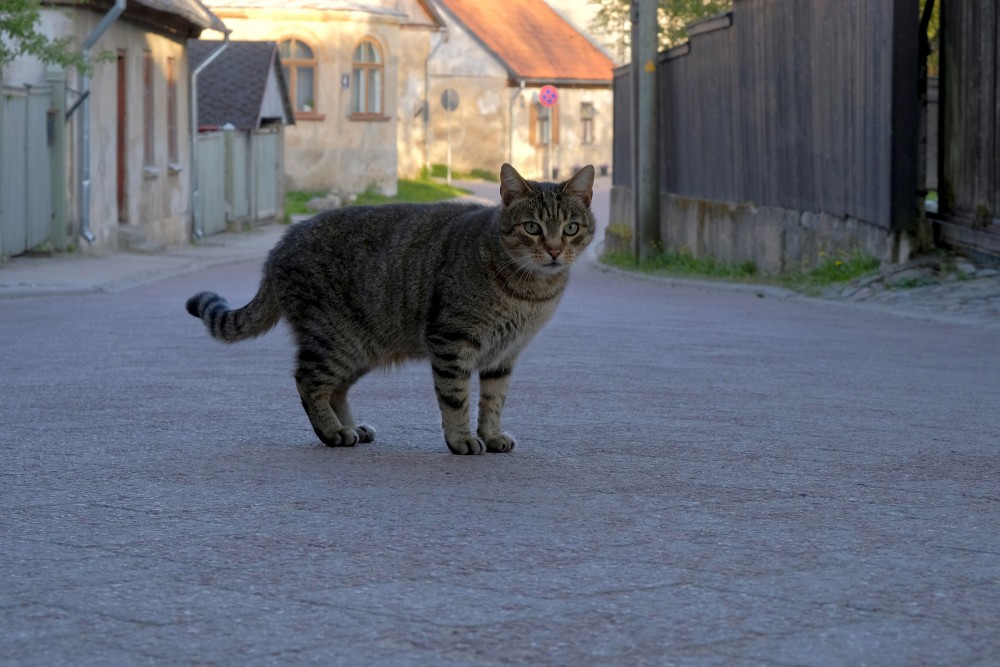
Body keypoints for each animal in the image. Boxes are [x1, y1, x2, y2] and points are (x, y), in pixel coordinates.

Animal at [186, 163, 592, 454]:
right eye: (532, 227)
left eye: (571, 228)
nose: (555, 250)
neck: (532, 293)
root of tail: (278, 247)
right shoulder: (451, 340)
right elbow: (456, 398)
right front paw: (460, 439)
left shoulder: (503, 355)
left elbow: (493, 401)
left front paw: (491, 435)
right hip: (334, 340)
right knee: (308, 382)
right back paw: (332, 432)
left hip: (359, 349)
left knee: (335, 390)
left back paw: (350, 427)